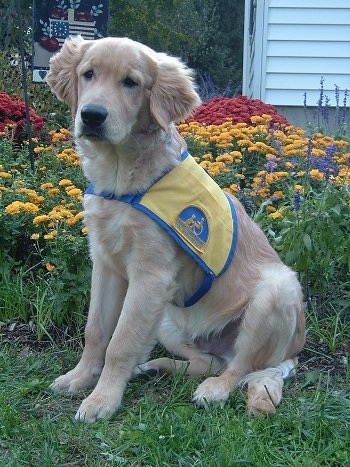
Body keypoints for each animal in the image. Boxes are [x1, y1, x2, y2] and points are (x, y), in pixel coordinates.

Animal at [47, 36, 304, 424]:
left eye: (131, 82)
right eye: (88, 74)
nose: (91, 115)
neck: (121, 178)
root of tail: (293, 354)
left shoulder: (151, 276)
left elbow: (120, 342)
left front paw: (102, 399)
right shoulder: (106, 265)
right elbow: (96, 330)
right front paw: (79, 378)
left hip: (277, 290)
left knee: (239, 367)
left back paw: (214, 390)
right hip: (168, 319)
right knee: (208, 361)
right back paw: (157, 367)